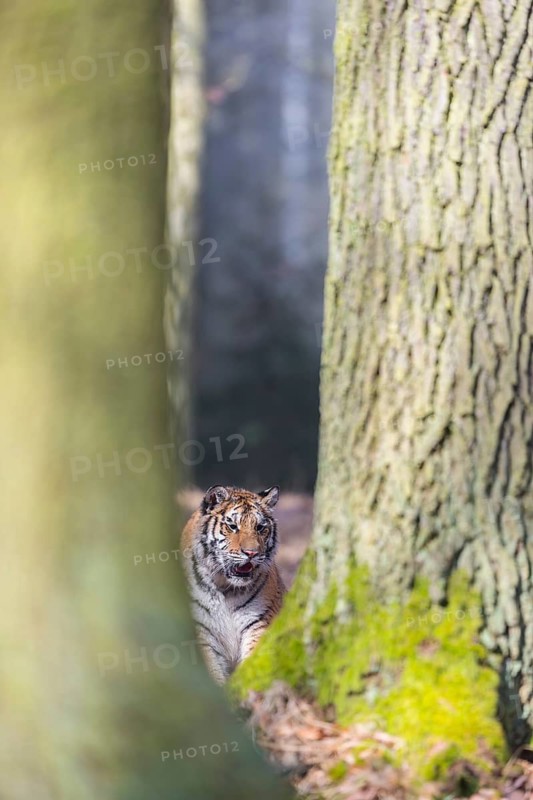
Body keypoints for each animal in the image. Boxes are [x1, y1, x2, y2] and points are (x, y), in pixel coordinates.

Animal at [181, 484, 285, 684]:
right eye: (232, 526)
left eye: (260, 527)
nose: (251, 553)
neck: (225, 587)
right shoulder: (202, 632)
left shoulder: (258, 623)